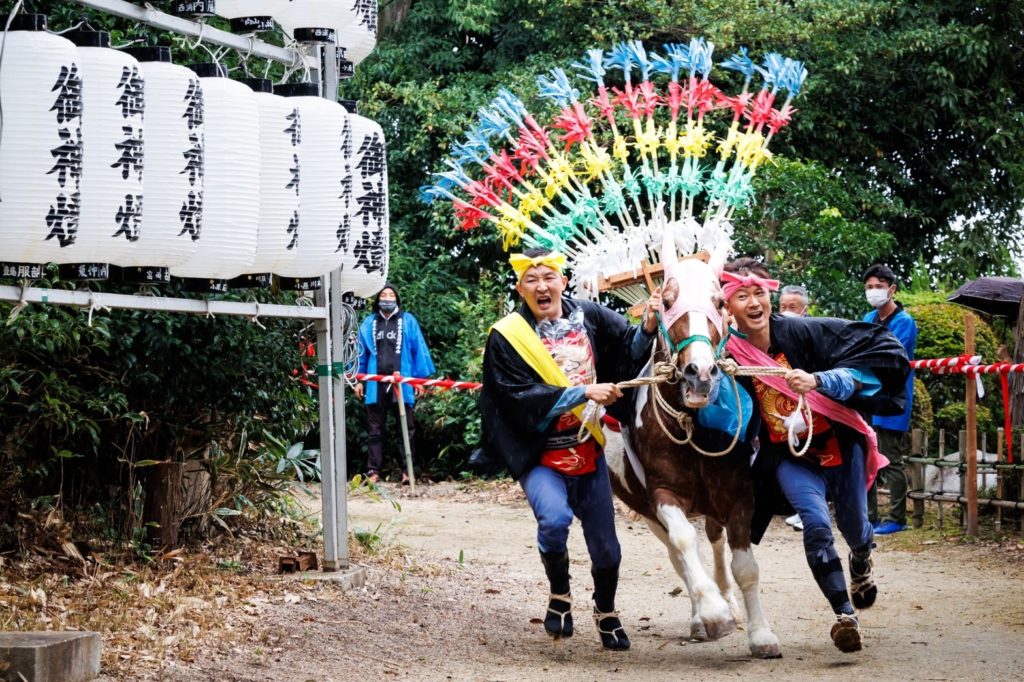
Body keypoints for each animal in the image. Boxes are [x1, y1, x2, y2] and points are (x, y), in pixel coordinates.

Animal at [602, 246, 778, 655]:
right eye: (667, 302)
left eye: (719, 302)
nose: (701, 372)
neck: (693, 425)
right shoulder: (663, 494)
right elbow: (684, 543)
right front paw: (713, 613)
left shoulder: (739, 493)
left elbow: (745, 567)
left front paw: (761, 633)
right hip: (646, 509)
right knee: (679, 553)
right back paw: (702, 615)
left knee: (713, 540)